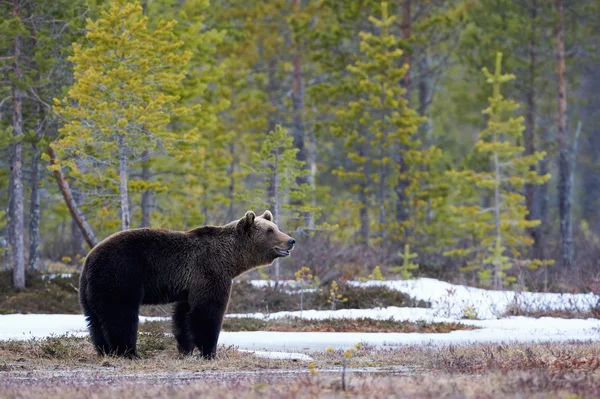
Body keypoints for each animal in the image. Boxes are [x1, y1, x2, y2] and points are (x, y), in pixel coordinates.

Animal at [79, 211, 296, 360]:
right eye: (270, 230)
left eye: (275, 226)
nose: (291, 241)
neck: (232, 259)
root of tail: (89, 258)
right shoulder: (210, 272)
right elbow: (208, 313)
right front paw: (210, 352)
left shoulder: (189, 285)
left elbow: (184, 315)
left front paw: (186, 349)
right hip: (121, 276)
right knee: (121, 315)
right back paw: (129, 353)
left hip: (92, 289)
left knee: (95, 319)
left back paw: (104, 350)